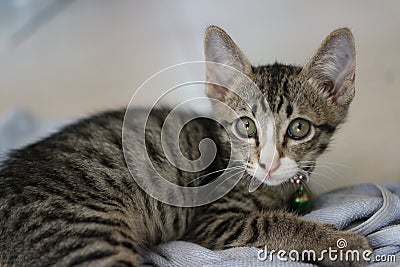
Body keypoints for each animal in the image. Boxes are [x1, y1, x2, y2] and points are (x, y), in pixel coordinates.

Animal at [0, 25, 372, 267]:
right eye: (246, 125)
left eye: (298, 128)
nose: (269, 162)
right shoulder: (213, 220)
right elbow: (272, 223)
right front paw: (344, 244)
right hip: (84, 232)